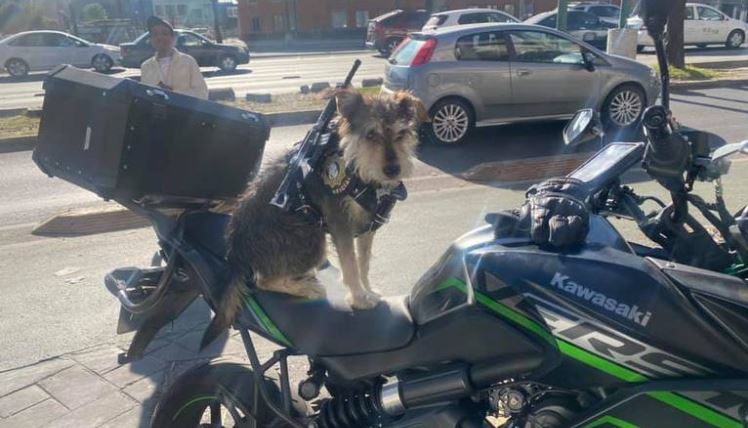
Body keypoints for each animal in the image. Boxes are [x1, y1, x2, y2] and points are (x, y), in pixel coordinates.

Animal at [215, 88, 426, 328]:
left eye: (401, 133)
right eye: (371, 135)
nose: (393, 170)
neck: (359, 168)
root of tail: (235, 252)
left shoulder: (369, 226)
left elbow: (363, 263)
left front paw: (368, 290)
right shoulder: (340, 222)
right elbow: (350, 264)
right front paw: (359, 299)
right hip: (311, 238)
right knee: (262, 280)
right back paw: (308, 288)